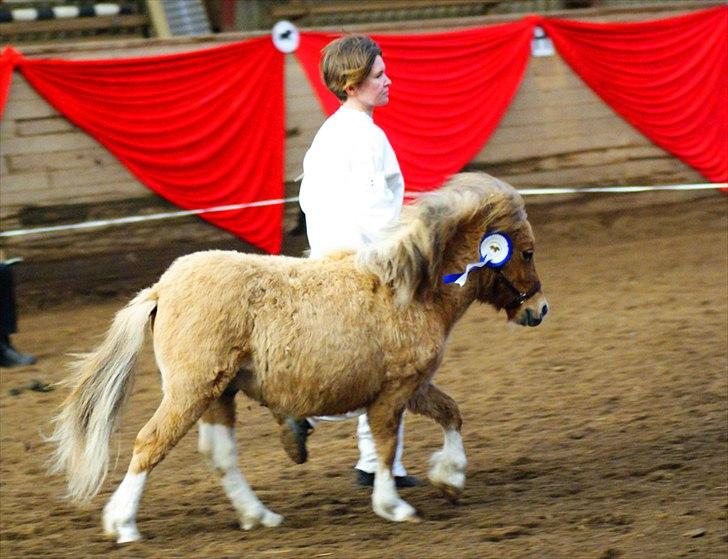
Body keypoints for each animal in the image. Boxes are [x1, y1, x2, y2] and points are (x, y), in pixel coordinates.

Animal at [47, 174, 544, 544]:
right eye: (527, 252)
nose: (539, 310)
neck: (408, 290)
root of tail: (161, 288)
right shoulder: (395, 390)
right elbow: (386, 445)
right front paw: (394, 506)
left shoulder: (414, 386)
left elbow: (450, 413)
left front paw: (451, 479)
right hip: (191, 390)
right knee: (150, 444)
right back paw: (123, 525)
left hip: (218, 393)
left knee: (220, 455)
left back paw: (259, 516)